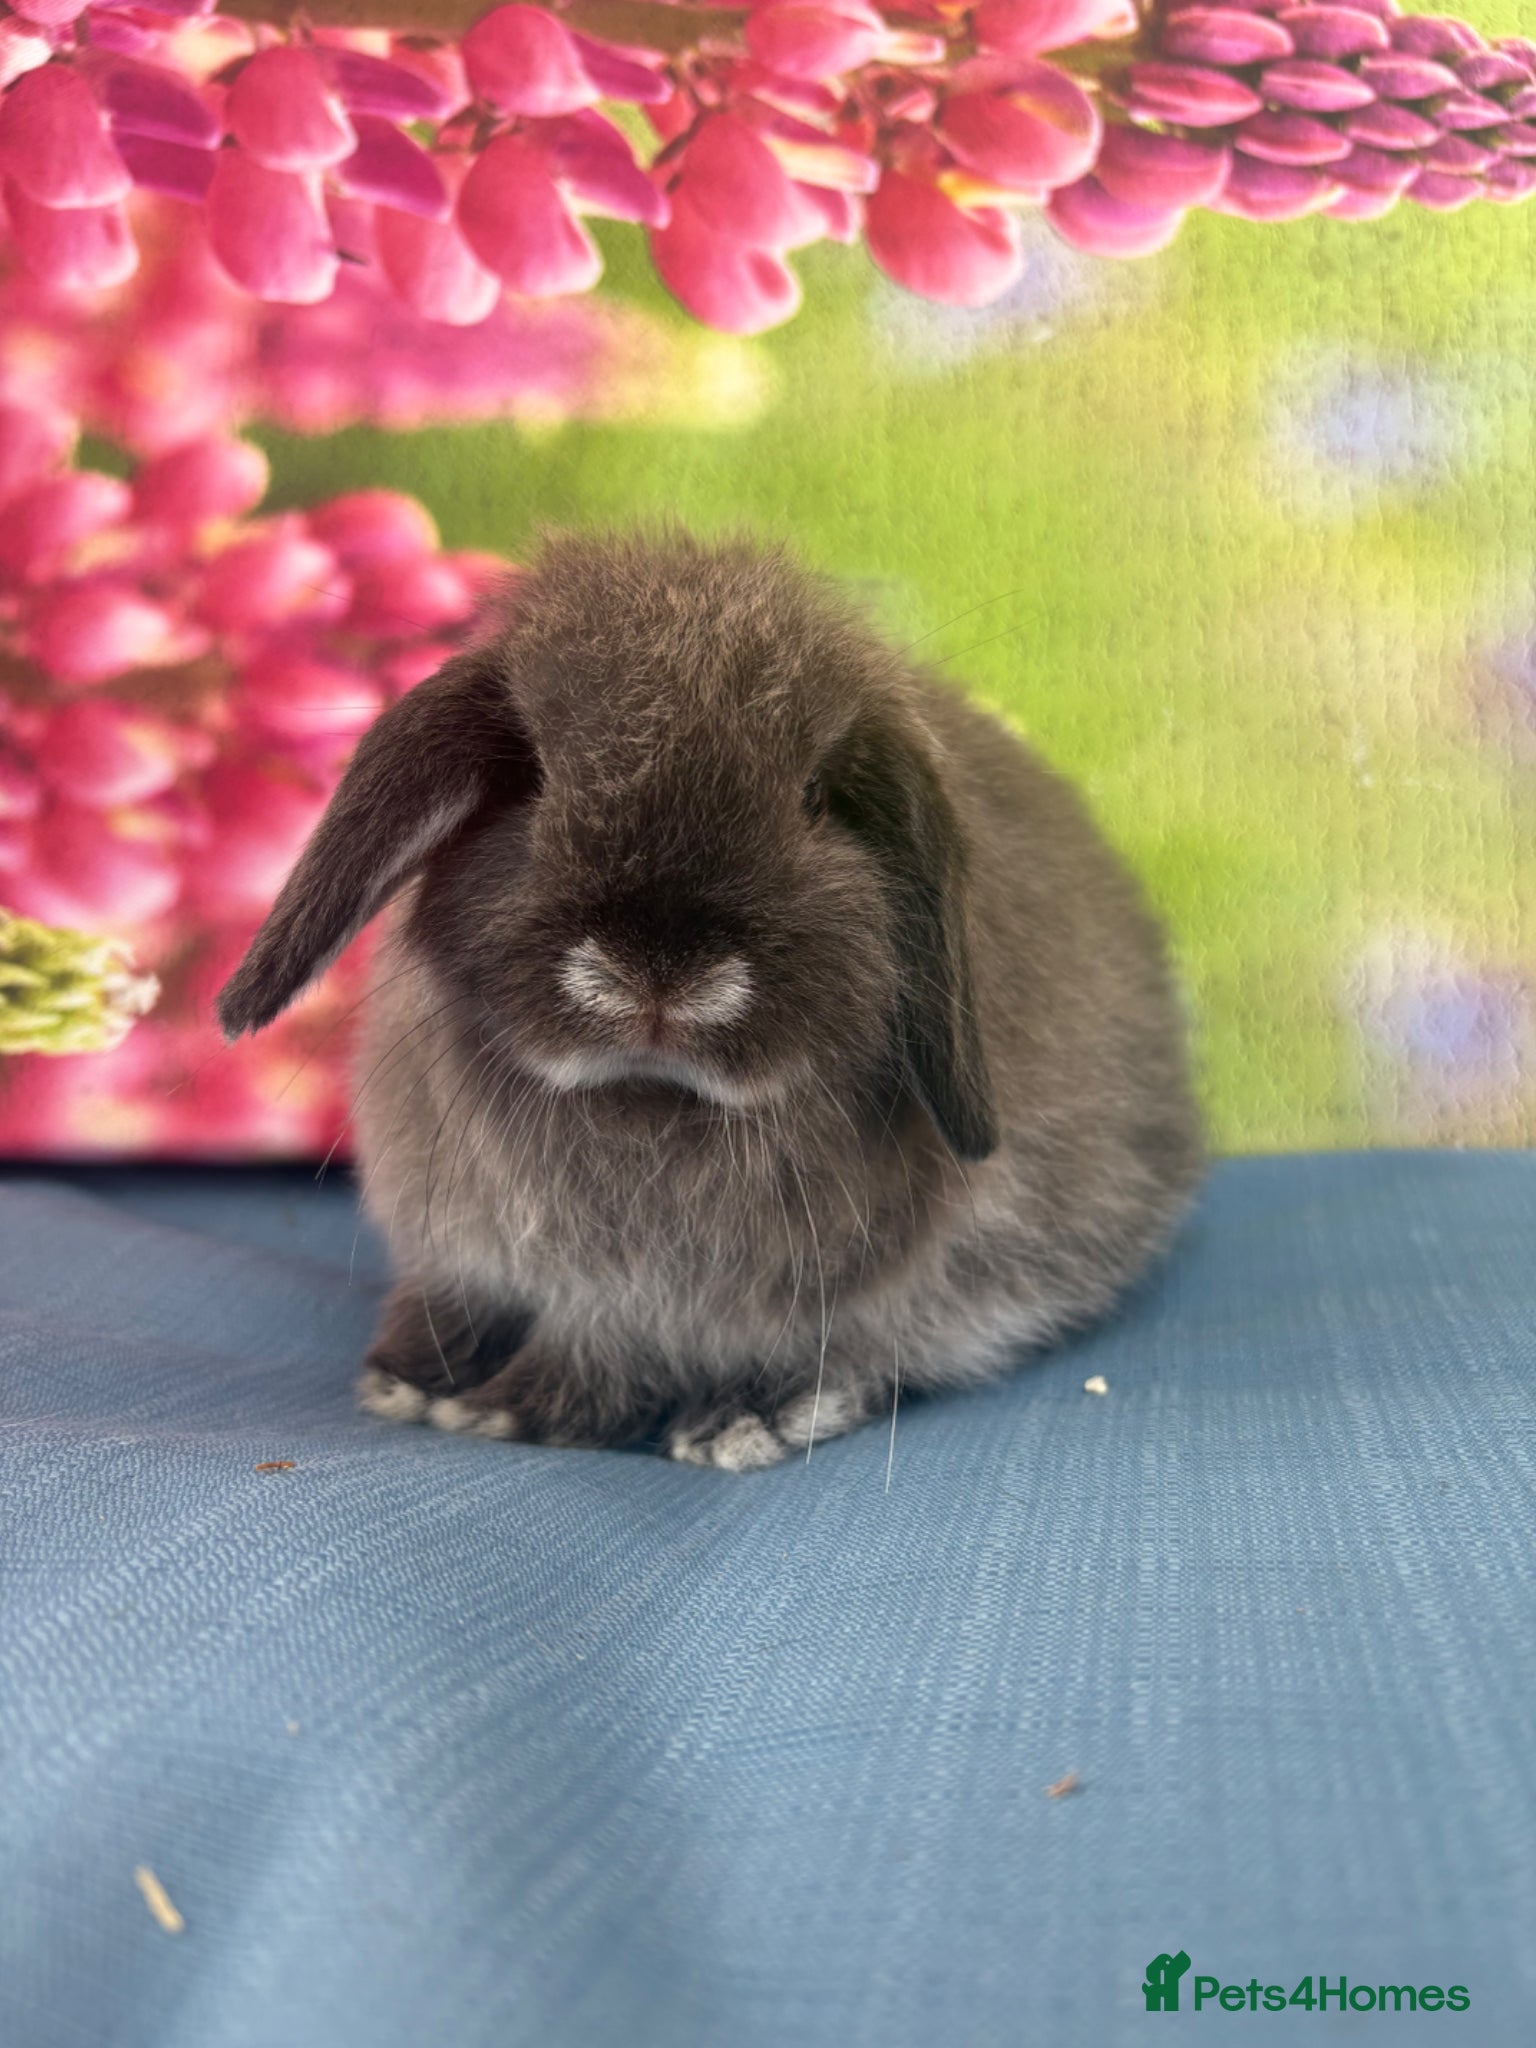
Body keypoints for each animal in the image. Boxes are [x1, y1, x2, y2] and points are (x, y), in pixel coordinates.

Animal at [218, 529, 1203, 1470]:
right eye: (530, 774)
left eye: (816, 798)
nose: (659, 967)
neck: (645, 1104)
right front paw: (414, 1378)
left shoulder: (664, 1304)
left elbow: (615, 1353)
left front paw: (510, 1409)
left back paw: (744, 1419)